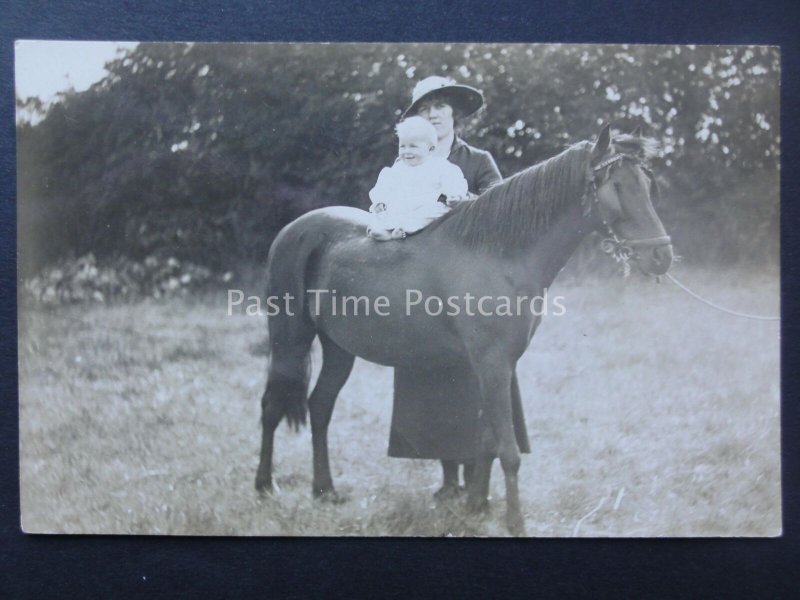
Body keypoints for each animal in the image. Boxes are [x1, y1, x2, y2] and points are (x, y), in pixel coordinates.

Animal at [253, 125, 672, 536]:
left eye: (647, 185)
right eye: (617, 185)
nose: (661, 256)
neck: (496, 253)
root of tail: (295, 230)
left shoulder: (497, 366)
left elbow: (486, 440)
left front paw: (475, 506)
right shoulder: (493, 365)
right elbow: (508, 450)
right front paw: (515, 523)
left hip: (339, 347)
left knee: (320, 406)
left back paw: (324, 490)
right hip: (290, 338)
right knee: (272, 406)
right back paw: (264, 486)